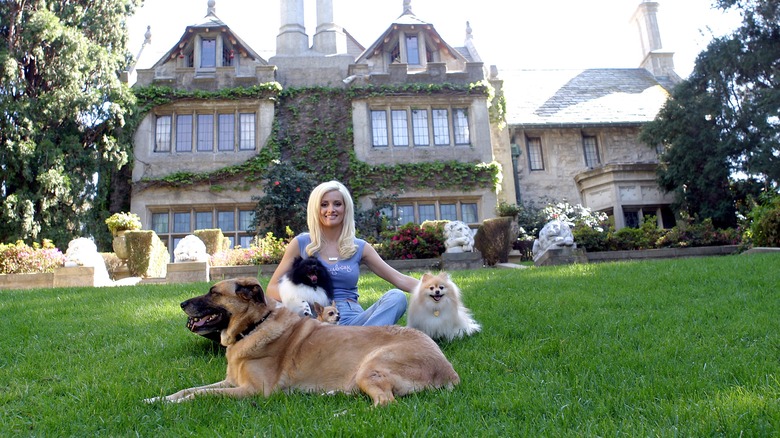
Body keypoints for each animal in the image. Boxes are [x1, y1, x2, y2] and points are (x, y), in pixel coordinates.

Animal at [146, 278, 460, 408]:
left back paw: (342, 412)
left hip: (372, 365)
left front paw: (175, 404)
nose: (181, 304)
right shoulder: (230, 383)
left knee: (385, 403)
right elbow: (190, 389)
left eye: (213, 292)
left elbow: (200, 395)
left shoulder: (252, 391)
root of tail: (449, 370)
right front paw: (158, 399)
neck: (253, 327)